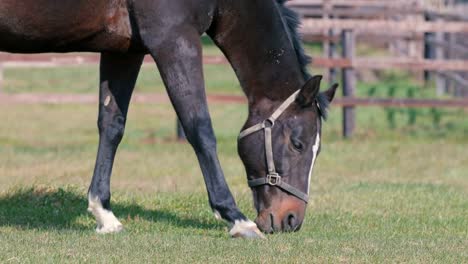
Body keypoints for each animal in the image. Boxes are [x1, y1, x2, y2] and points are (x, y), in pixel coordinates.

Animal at [0, 0, 336, 238]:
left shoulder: (124, 50)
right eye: (297, 143)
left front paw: (103, 212)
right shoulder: (174, 40)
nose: (290, 219)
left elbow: (112, 125)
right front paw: (236, 218)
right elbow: (199, 128)